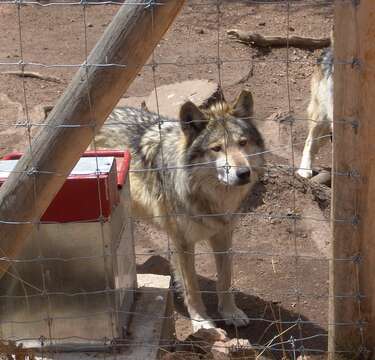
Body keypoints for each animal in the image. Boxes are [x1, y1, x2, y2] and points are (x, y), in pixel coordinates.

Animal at [95, 90, 266, 332]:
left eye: (243, 143)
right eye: (216, 148)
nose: (243, 173)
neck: (209, 198)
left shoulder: (223, 235)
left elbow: (225, 278)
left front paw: (230, 312)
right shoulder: (183, 242)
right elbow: (191, 286)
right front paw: (202, 322)